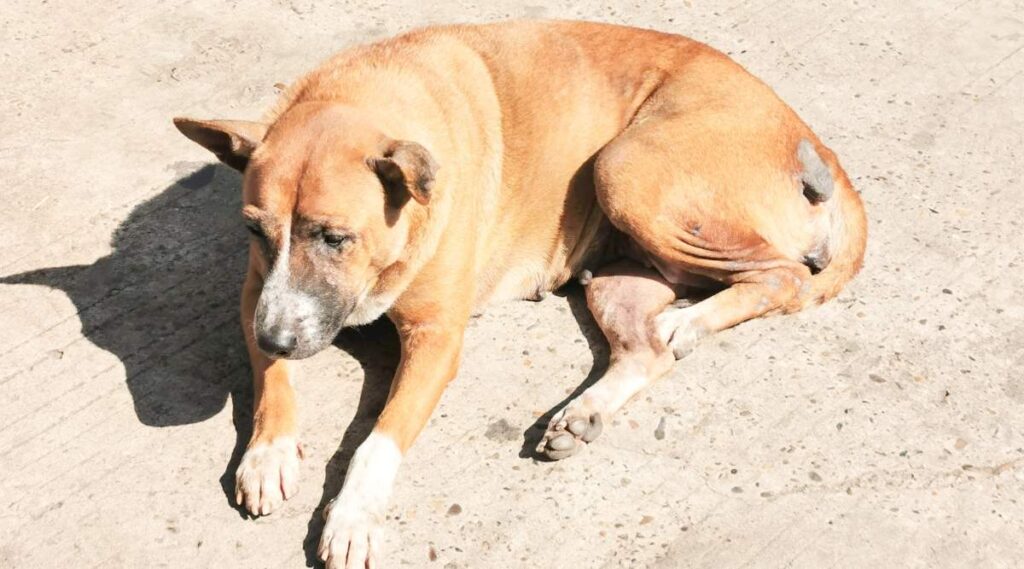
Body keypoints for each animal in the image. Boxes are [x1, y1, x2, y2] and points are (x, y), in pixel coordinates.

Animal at [174, 18, 864, 569]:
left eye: (335, 237)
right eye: (253, 230)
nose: (276, 337)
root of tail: (813, 138)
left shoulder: (435, 339)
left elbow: (378, 440)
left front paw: (353, 516)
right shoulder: (257, 292)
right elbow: (272, 379)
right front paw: (267, 452)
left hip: (627, 167)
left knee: (784, 276)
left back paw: (691, 322)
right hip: (619, 271)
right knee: (646, 351)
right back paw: (585, 411)